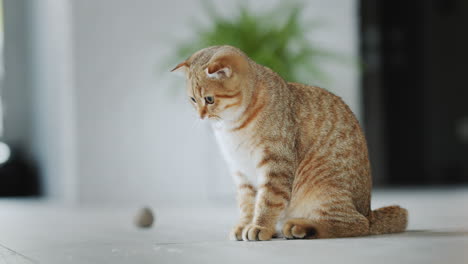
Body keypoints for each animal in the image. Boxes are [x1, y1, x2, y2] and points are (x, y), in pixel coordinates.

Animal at [172, 45, 406, 241]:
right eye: (192, 100)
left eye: (209, 99)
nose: (201, 116)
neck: (232, 127)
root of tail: (369, 212)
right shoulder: (240, 171)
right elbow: (247, 203)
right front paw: (244, 225)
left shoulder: (276, 164)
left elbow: (267, 201)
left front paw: (260, 227)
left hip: (324, 187)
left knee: (355, 224)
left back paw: (301, 226)